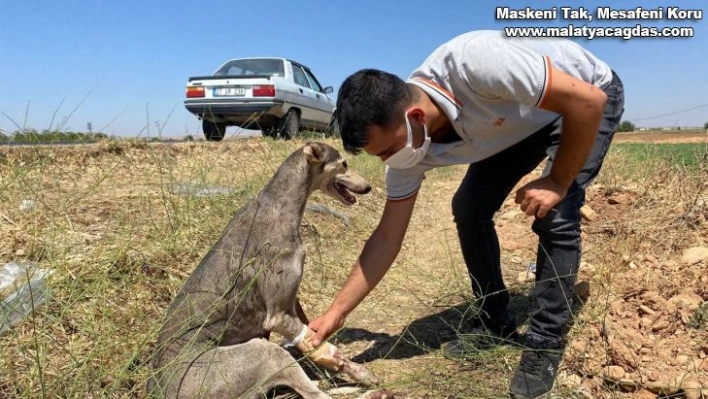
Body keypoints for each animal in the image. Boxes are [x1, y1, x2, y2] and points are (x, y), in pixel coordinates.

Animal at [148, 143, 392, 399]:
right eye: (344, 163)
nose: (368, 187)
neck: (279, 202)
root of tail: (156, 388)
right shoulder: (277, 316)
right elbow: (323, 348)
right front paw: (354, 370)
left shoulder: (291, 302)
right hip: (265, 352)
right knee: (316, 395)